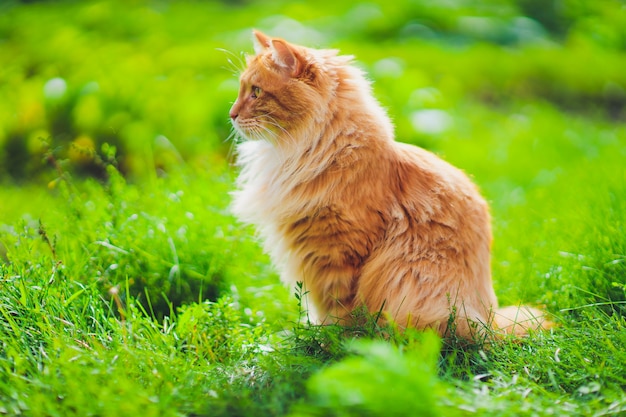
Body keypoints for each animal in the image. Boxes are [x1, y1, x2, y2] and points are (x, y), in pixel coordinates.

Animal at [228, 31, 544, 338]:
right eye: (241, 90)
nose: (231, 114)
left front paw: (332, 341)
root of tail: (489, 323)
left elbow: (338, 308)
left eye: (256, 92)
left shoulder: (340, 252)